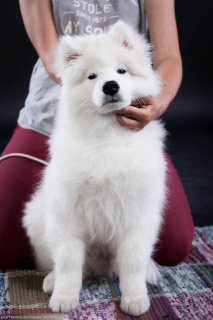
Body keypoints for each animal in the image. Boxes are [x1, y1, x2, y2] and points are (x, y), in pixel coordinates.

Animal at [22, 21, 166, 316]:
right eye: (91, 77)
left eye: (122, 71)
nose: (110, 86)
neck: (108, 134)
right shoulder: (66, 213)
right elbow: (68, 263)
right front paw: (64, 299)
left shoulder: (138, 215)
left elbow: (133, 263)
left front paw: (135, 299)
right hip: (37, 216)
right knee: (67, 264)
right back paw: (52, 281)